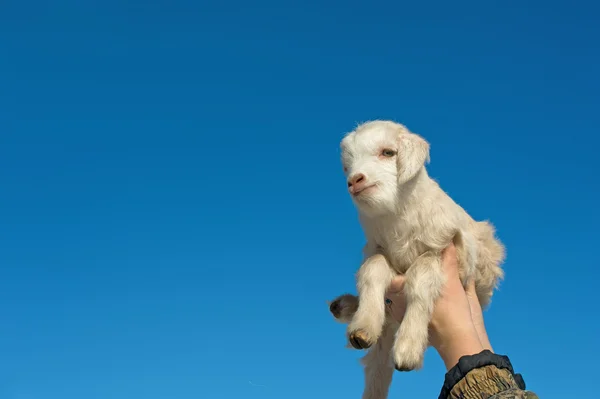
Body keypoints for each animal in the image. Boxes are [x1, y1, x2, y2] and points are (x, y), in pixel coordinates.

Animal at [330, 121, 504, 399]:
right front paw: (364, 327)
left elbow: (421, 276)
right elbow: (372, 268)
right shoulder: (378, 249)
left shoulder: (446, 250)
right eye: (347, 165)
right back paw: (346, 307)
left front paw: (407, 349)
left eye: (388, 152)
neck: (397, 219)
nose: (354, 180)